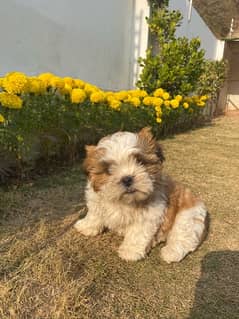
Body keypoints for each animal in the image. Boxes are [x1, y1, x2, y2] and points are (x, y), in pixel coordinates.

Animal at [74, 129, 207, 264]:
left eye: (140, 162)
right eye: (108, 169)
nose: (127, 179)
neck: (122, 201)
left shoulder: (149, 214)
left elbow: (137, 232)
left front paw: (130, 251)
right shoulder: (97, 200)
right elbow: (95, 214)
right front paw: (86, 226)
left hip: (188, 215)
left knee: (183, 236)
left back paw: (171, 252)